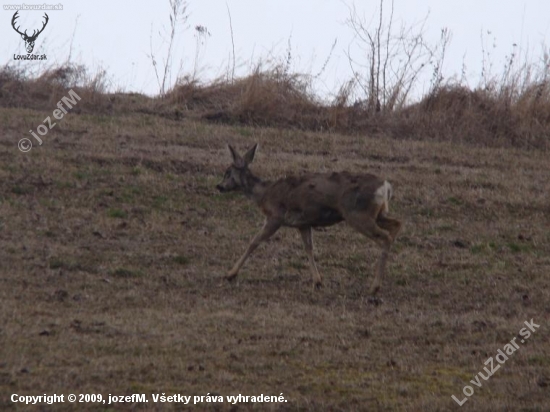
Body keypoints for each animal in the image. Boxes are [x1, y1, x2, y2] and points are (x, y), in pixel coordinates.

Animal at [218, 143, 404, 294]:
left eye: (228, 172)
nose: (219, 186)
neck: (264, 194)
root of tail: (386, 186)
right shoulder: (303, 223)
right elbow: (309, 248)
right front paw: (318, 281)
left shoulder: (275, 216)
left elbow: (254, 242)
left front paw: (230, 274)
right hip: (377, 214)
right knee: (397, 224)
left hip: (357, 214)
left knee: (385, 237)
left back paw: (374, 287)